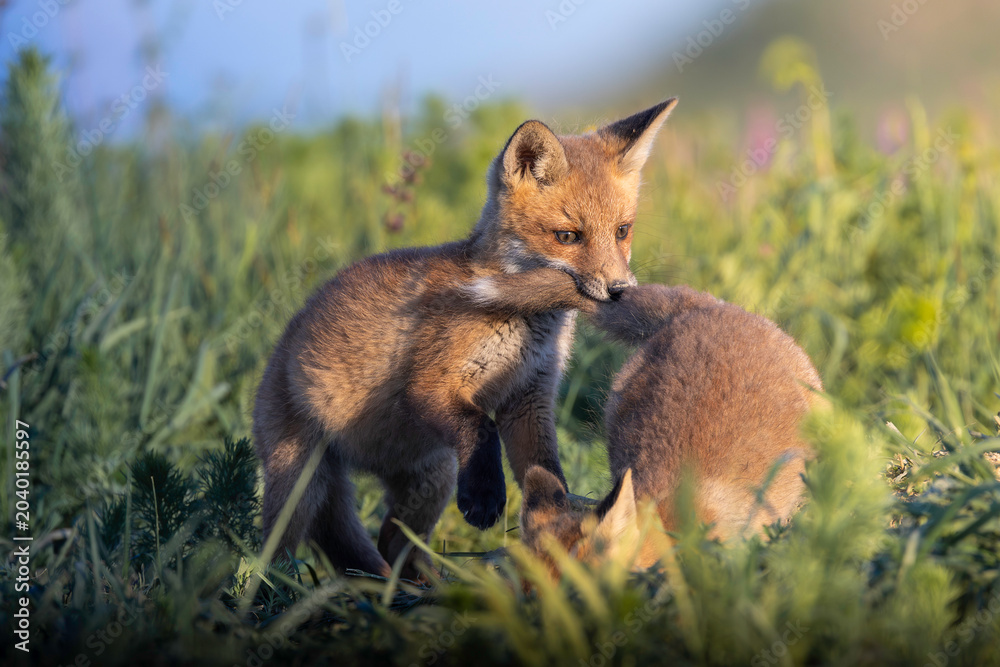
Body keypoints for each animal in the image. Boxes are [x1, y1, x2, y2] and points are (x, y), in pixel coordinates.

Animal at [252, 99, 679, 578]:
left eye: (623, 230)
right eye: (568, 236)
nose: (620, 290)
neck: (522, 326)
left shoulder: (528, 399)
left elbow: (547, 470)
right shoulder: (429, 385)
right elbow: (481, 426)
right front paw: (486, 497)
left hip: (429, 478)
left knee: (390, 543)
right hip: (300, 485)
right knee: (275, 554)